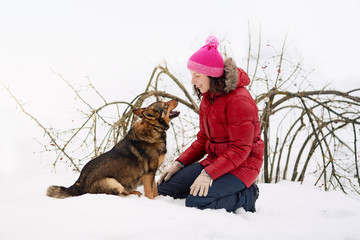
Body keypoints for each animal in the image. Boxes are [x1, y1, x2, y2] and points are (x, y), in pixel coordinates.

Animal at [46, 99, 180, 199]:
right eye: (165, 104)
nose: (176, 98)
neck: (153, 127)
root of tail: (79, 183)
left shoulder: (153, 173)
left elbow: (155, 191)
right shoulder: (149, 173)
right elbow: (150, 193)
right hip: (113, 182)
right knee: (120, 194)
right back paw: (133, 194)